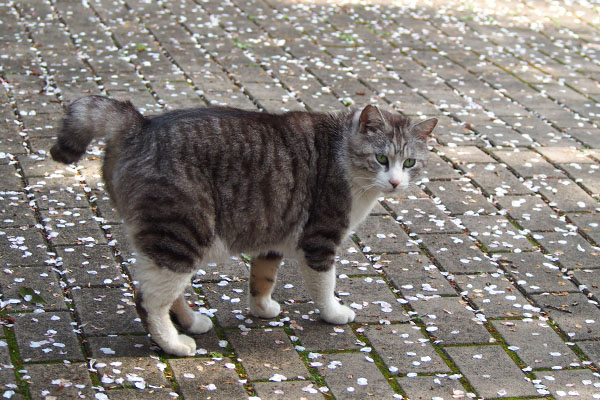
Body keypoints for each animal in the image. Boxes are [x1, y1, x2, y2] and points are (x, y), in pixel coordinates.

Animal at [51, 94, 436, 356]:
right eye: (382, 158)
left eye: (410, 162)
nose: (396, 183)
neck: (342, 151)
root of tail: (139, 125)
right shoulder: (320, 240)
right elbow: (325, 286)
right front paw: (334, 313)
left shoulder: (272, 233)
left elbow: (263, 278)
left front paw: (262, 309)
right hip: (181, 234)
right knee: (149, 299)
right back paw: (175, 343)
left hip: (171, 241)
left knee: (167, 292)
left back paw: (192, 323)